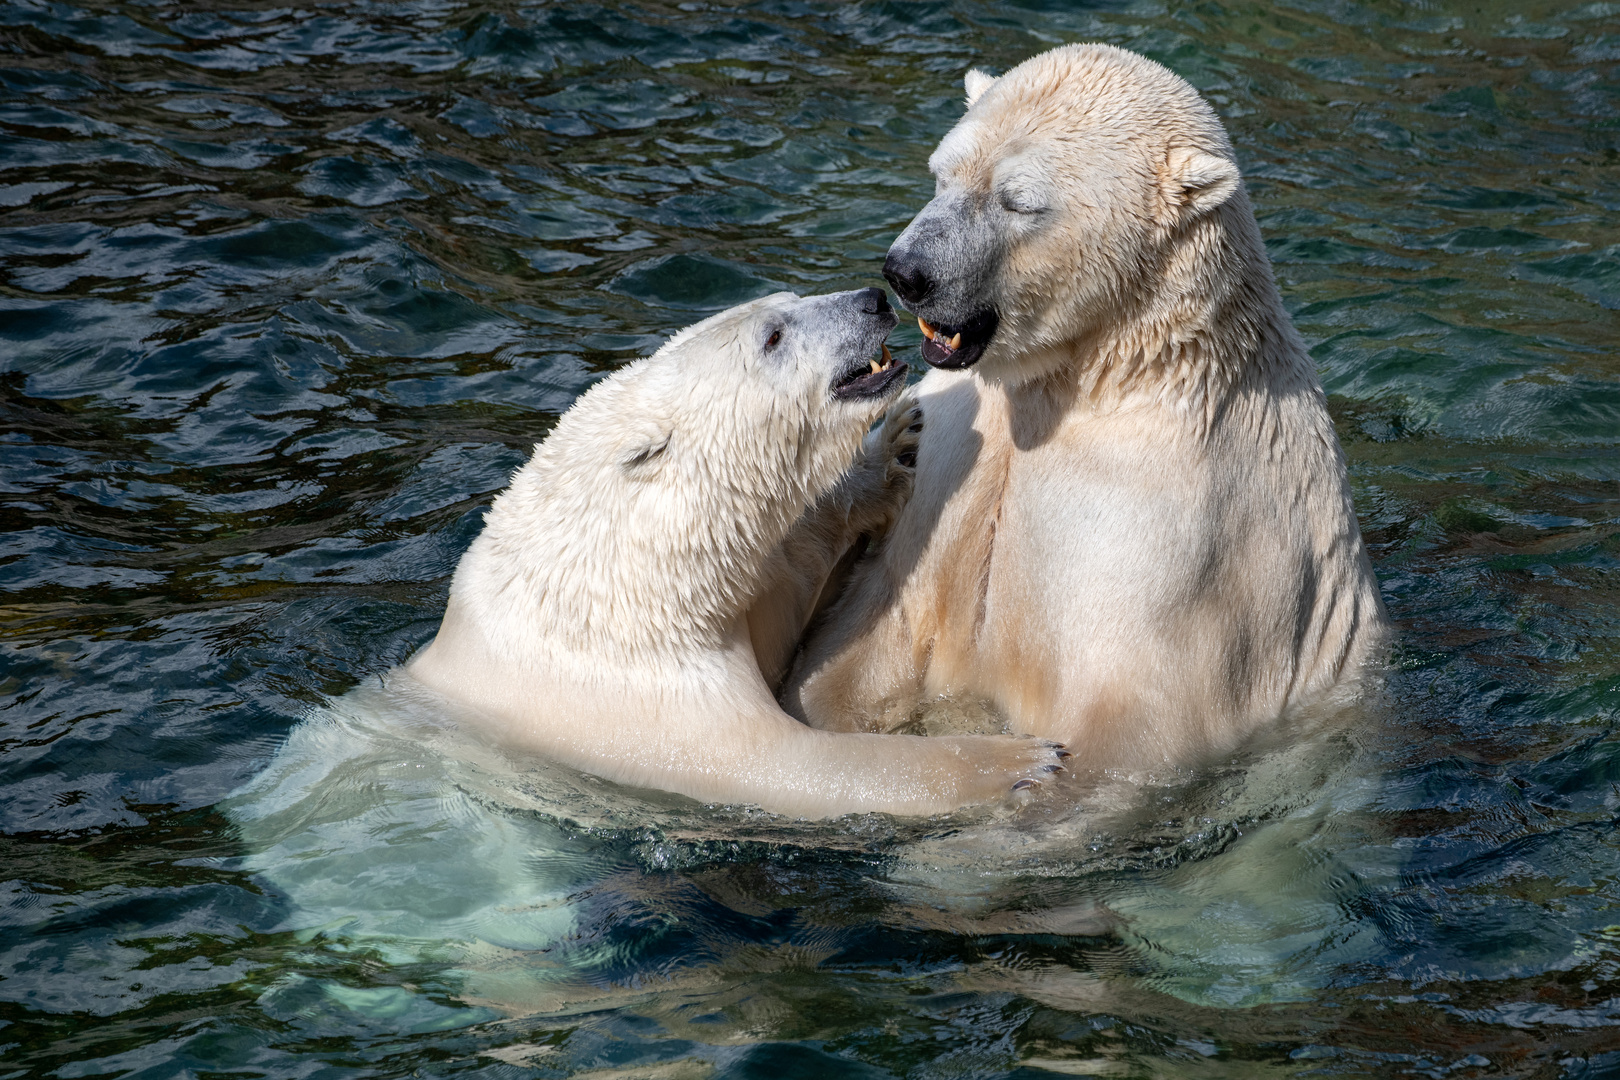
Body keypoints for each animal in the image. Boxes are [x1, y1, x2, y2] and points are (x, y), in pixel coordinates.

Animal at [403, 286, 1062, 819]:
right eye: (772, 336)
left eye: (790, 295)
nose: (873, 299)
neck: (614, 599)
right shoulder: (648, 714)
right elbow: (803, 769)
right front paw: (1020, 761)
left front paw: (895, 447)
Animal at [777, 44, 1386, 767]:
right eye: (942, 174)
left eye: (1017, 201)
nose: (908, 272)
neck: (1097, 376)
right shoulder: (953, 453)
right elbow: (873, 629)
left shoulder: (1164, 522)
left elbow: (1135, 717)